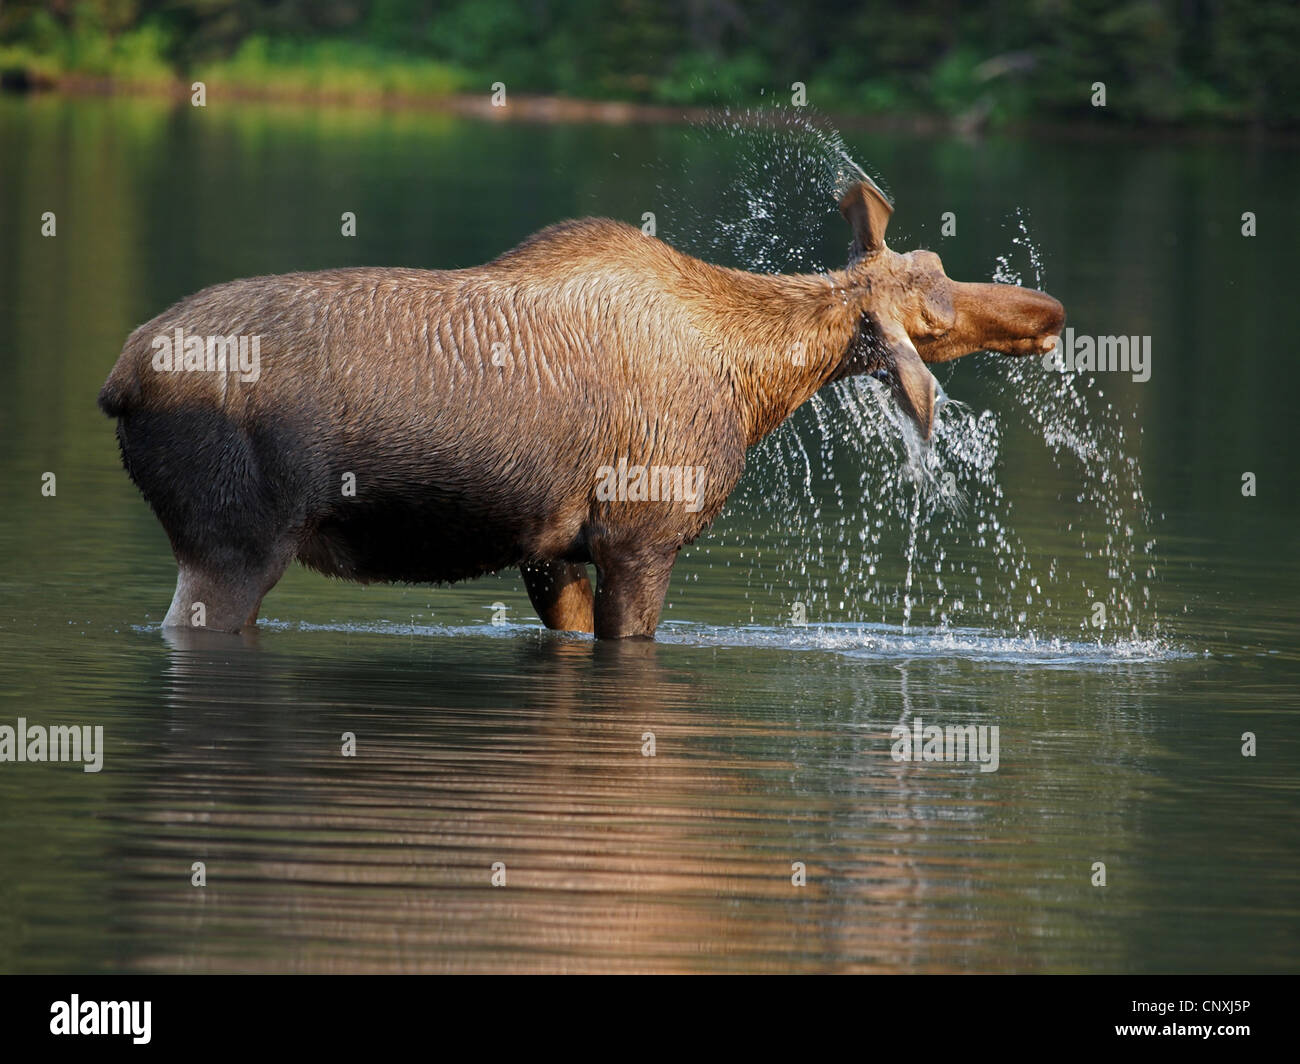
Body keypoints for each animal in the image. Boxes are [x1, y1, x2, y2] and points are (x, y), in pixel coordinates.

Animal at [98, 178, 1055, 634]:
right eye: (933, 316)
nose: (1049, 316)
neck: (755, 388)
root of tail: (119, 382)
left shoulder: (550, 553)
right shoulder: (643, 536)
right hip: (234, 542)